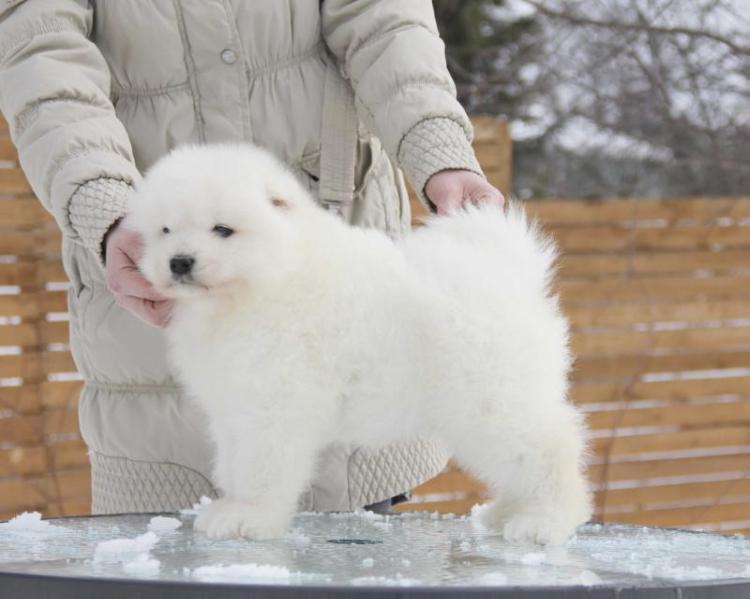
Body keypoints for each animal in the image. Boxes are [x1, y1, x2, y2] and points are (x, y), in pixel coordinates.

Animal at [123, 144, 592, 544]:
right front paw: (231, 508)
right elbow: (234, 464)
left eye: (223, 230)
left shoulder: (275, 404)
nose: (179, 262)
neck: (266, 280)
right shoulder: (233, 409)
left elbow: (262, 467)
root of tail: (506, 267)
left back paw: (545, 520)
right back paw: (506, 512)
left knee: (549, 447)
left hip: (490, 397)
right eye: (165, 230)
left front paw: (250, 516)